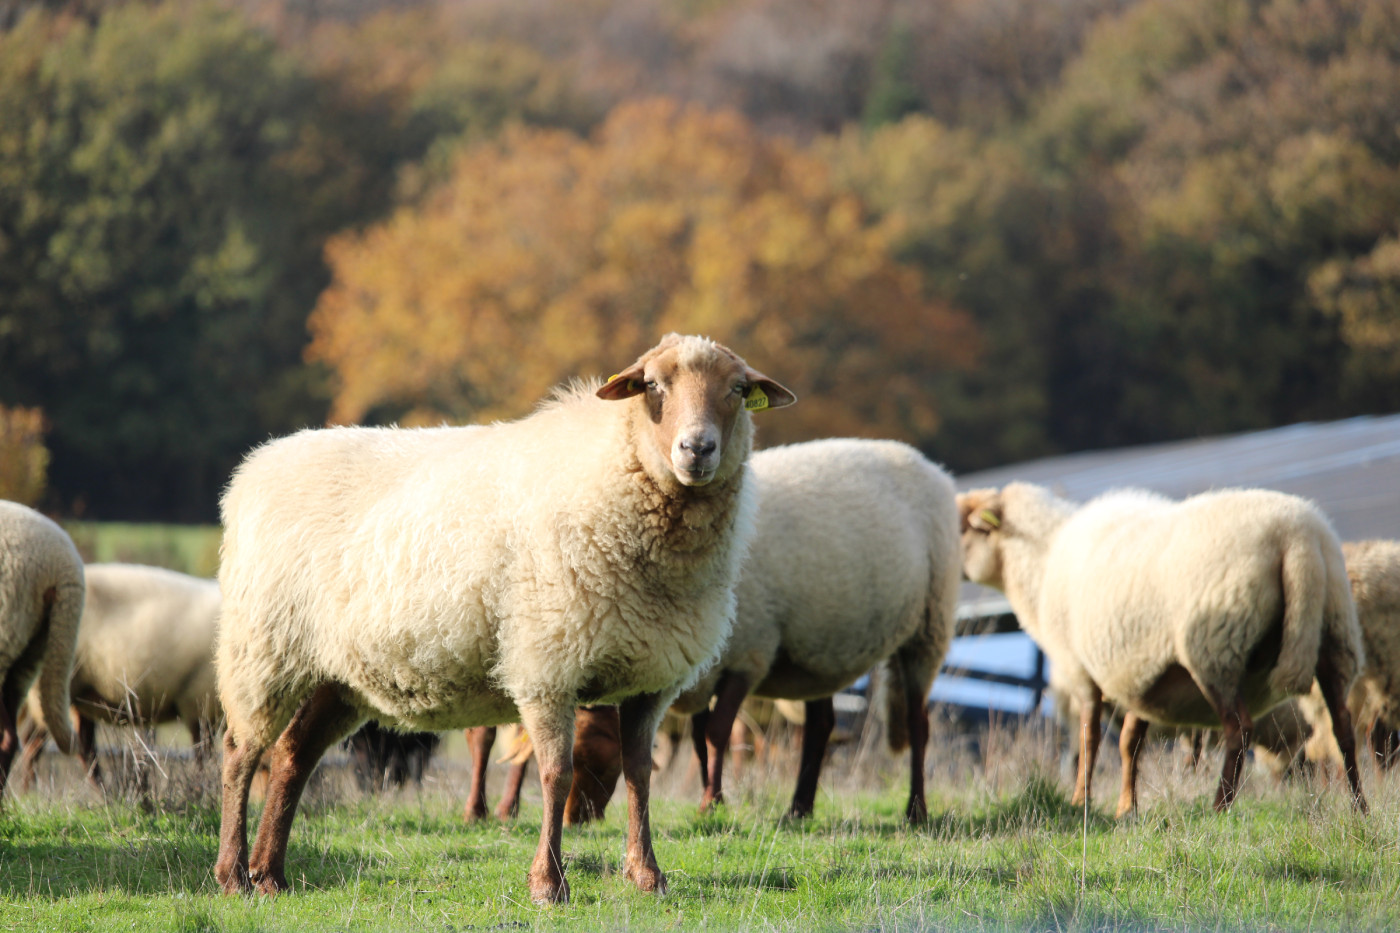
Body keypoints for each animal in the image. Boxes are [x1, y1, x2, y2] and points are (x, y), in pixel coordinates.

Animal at [15, 563, 221, 790]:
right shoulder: (198, 704)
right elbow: (203, 754)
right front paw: (204, 783)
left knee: (65, 743)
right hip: (56, 686)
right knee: (48, 744)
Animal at [212, 334, 795, 902]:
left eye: (738, 390)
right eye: (652, 385)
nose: (697, 449)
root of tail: (258, 462)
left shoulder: (651, 679)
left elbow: (639, 774)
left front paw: (647, 876)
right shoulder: (547, 664)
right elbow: (556, 773)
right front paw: (548, 884)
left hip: (337, 676)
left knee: (293, 754)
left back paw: (271, 875)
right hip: (262, 648)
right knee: (242, 754)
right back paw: (234, 875)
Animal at [669, 437, 957, 823]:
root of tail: (932, 467)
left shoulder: (747, 655)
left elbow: (717, 733)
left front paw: (711, 803)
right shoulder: (702, 669)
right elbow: (699, 738)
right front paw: (710, 803)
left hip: (928, 628)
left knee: (918, 724)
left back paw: (915, 810)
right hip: (823, 650)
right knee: (821, 726)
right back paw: (799, 808)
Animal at [963, 481, 1366, 812]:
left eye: (964, 527)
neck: (1041, 561)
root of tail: (1298, 538)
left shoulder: (1082, 670)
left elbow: (1089, 739)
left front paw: (1081, 801)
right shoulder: (1139, 674)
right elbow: (1129, 742)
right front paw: (1126, 807)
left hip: (1216, 649)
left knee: (1239, 728)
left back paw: (1219, 807)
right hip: (1335, 635)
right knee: (1343, 729)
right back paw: (1359, 807)